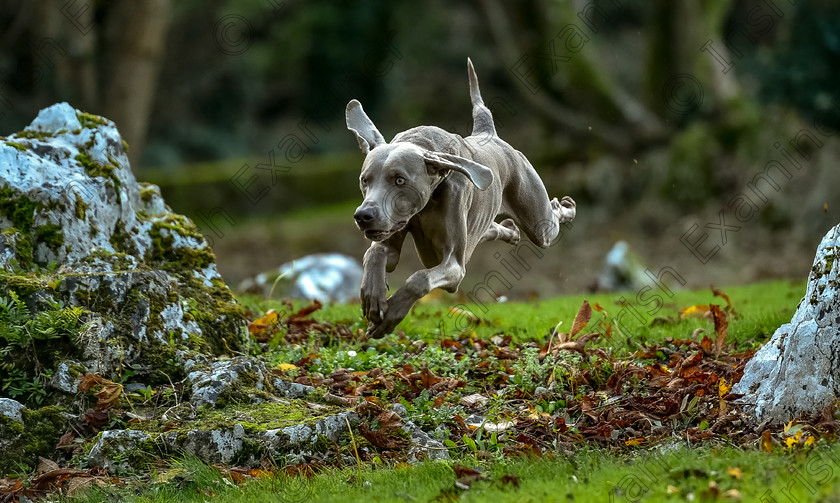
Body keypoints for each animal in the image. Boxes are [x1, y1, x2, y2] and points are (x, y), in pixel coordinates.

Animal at [344, 59, 576, 338]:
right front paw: (372, 297)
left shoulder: (454, 266)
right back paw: (510, 231)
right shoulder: (393, 236)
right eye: (364, 180)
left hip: (538, 222)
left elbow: (419, 279)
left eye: (399, 180)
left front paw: (390, 317)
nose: (363, 216)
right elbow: (376, 253)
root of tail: (490, 133)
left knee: (548, 219)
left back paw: (566, 207)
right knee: (489, 229)